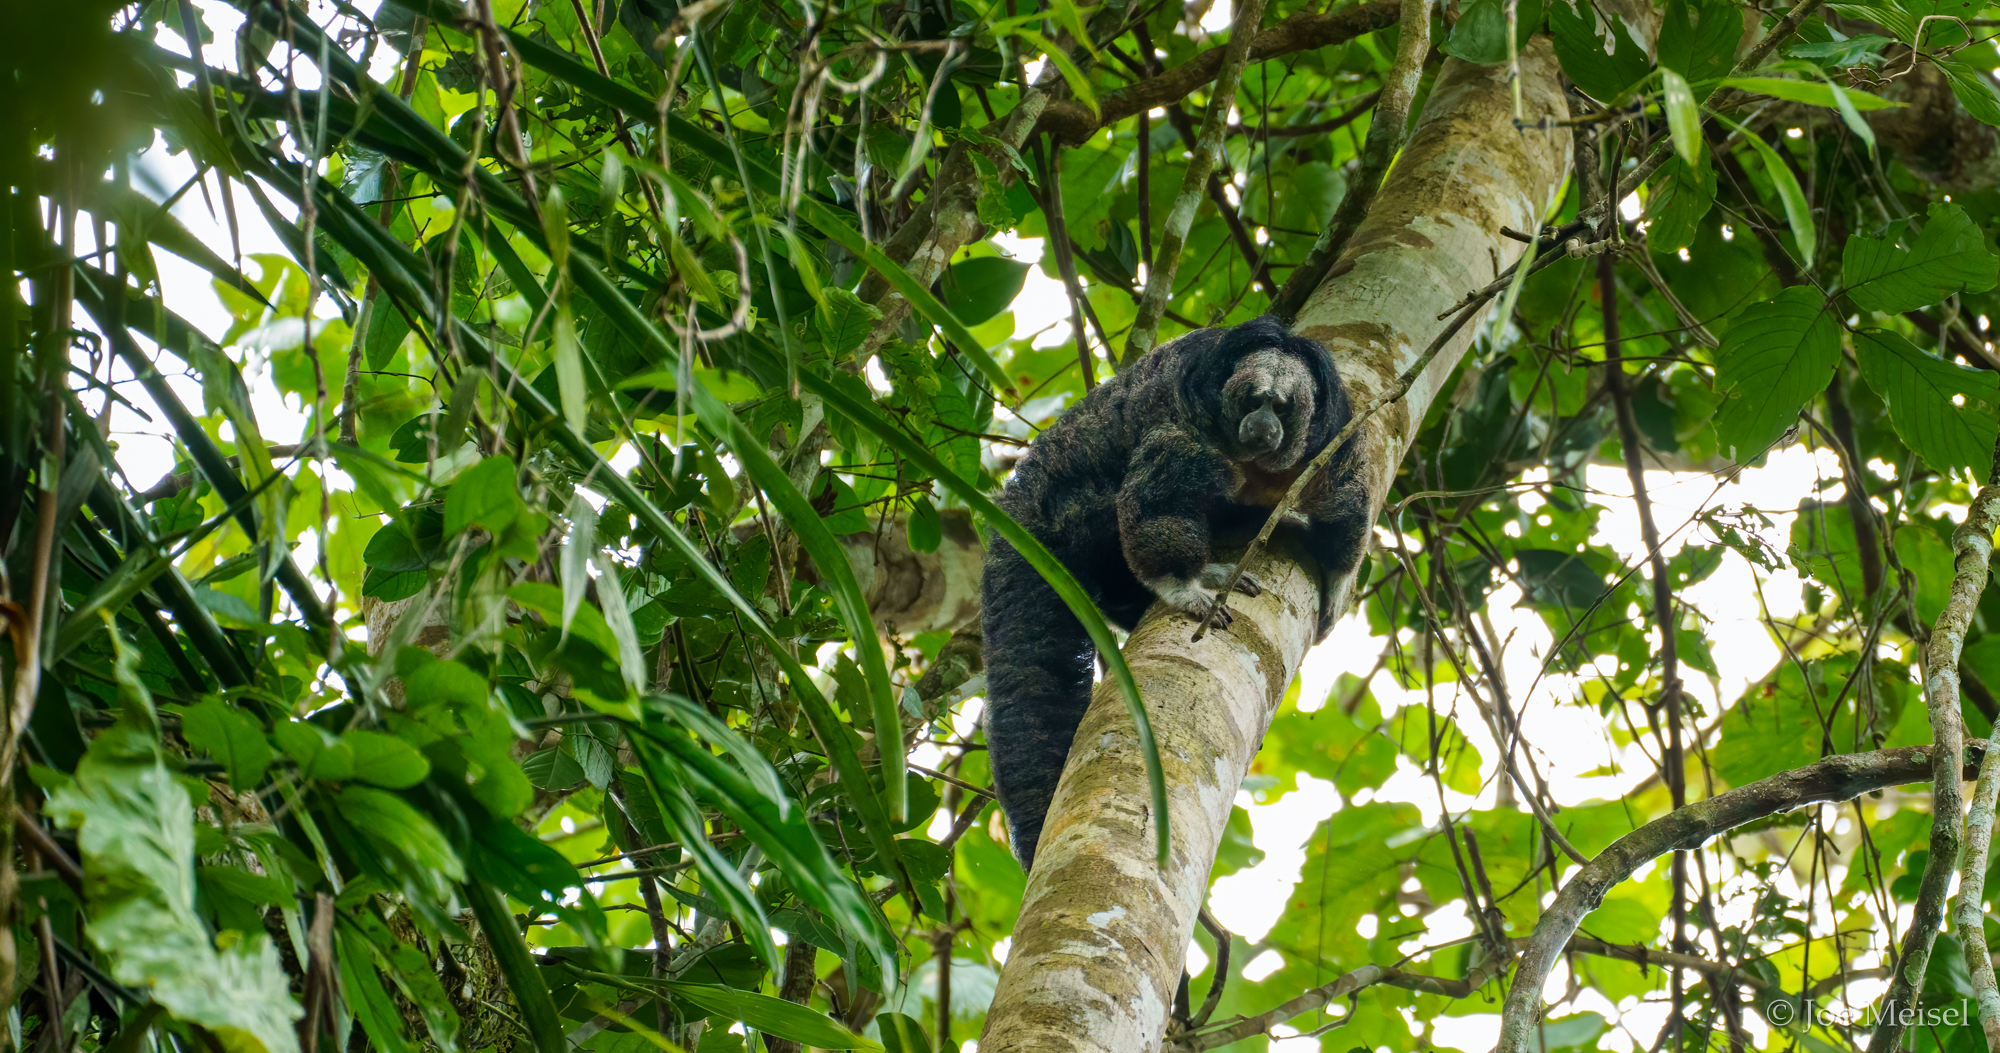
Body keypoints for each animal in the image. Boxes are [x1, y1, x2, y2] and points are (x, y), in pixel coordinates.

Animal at [980, 315, 1370, 871]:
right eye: (1253, 401)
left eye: (1281, 408)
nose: (1261, 426)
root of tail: (1019, 504)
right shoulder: (1189, 430)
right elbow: (1160, 488)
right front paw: (1185, 585)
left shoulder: (1332, 443)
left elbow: (1346, 502)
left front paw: (1338, 582)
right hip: (1058, 519)